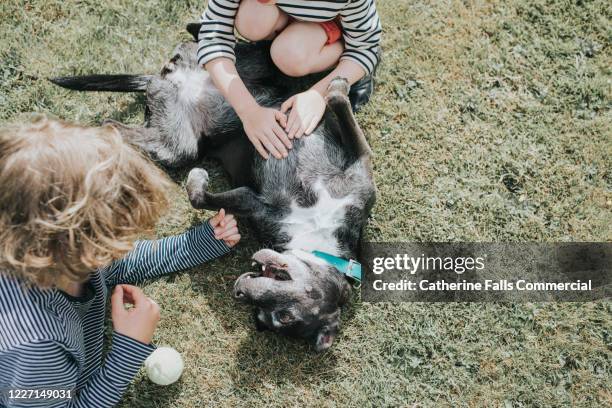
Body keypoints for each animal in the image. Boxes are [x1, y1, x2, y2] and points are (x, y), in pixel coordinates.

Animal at [52, 24, 376, 350]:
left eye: (277, 317)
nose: (240, 290)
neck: (318, 232)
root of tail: (168, 79)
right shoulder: (360, 167)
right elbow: (343, 113)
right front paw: (337, 89)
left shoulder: (252, 202)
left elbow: (199, 197)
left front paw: (199, 185)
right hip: (253, 64)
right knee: (236, 45)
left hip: (176, 145)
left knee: (115, 125)